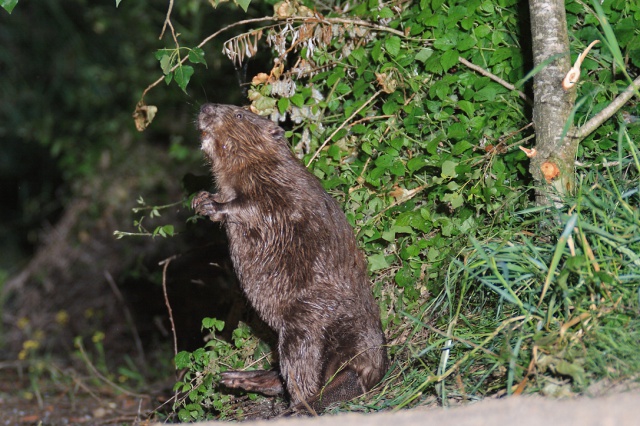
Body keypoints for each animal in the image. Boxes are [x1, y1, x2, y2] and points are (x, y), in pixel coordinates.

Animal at [190, 103, 388, 412]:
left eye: (238, 115)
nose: (206, 107)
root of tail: (367, 369)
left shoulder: (282, 189)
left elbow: (254, 208)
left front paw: (213, 204)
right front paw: (199, 199)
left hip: (305, 327)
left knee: (303, 373)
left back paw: (296, 406)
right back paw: (239, 378)